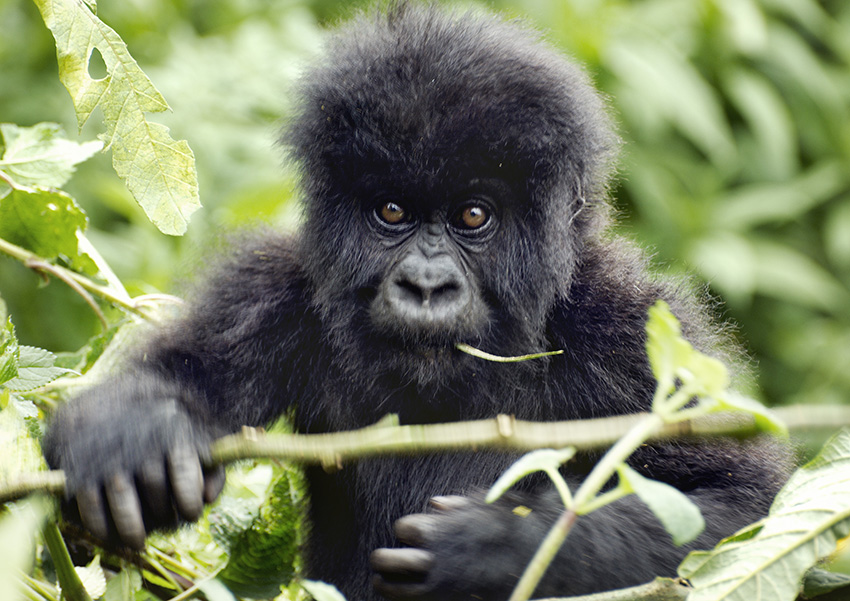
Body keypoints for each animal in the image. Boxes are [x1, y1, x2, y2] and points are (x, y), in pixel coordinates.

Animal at [44, 4, 788, 600]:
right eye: (393, 212)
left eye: (473, 216)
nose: (426, 286)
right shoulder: (270, 289)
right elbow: (178, 376)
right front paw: (131, 437)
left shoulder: (627, 328)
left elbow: (737, 505)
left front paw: (492, 552)